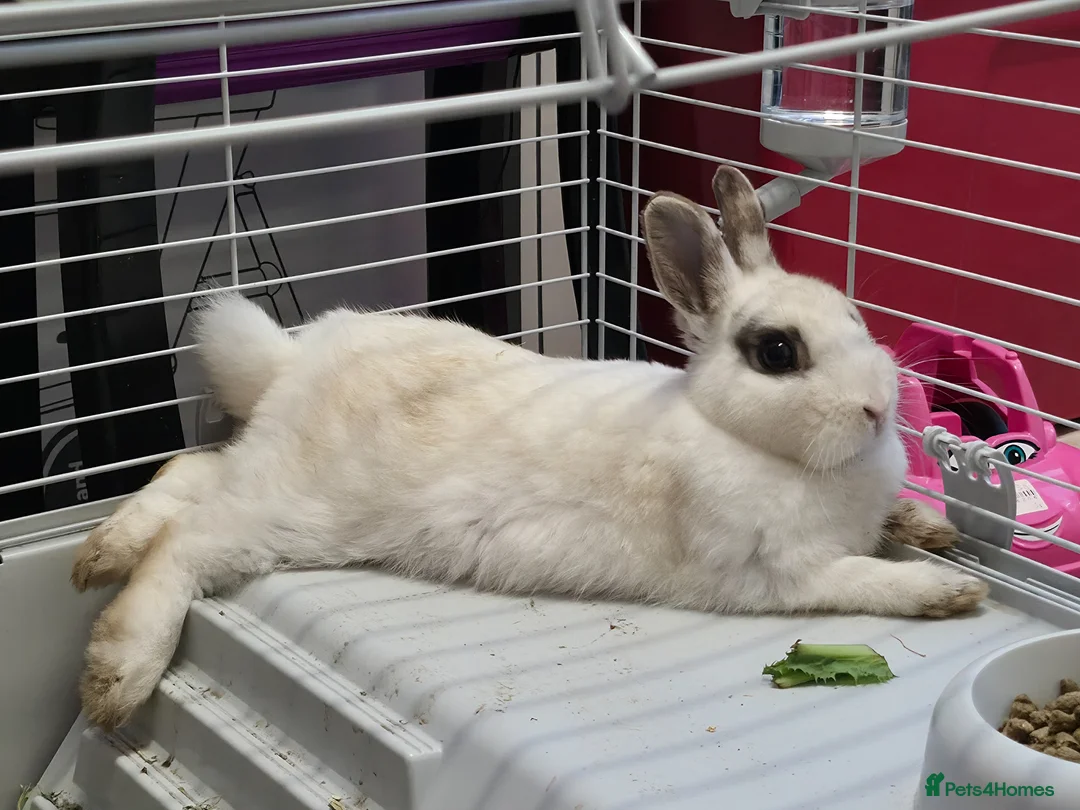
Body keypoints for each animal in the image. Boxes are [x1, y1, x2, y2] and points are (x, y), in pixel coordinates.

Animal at [70, 165, 987, 731]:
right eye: (777, 353)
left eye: (856, 317)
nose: (879, 407)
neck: (740, 435)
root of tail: (295, 363)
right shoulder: (781, 574)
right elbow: (866, 579)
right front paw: (951, 591)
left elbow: (893, 529)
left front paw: (933, 528)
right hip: (294, 512)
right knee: (189, 542)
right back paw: (116, 674)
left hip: (268, 477)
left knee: (193, 470)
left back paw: (99, 550)